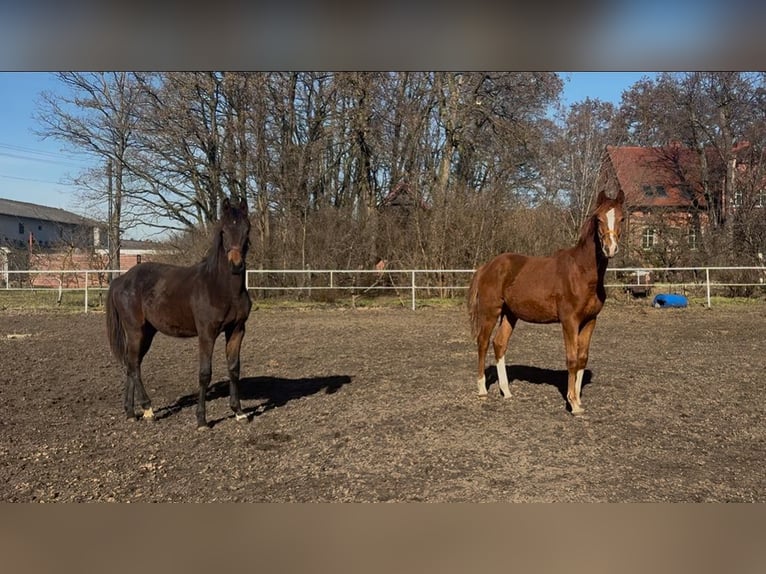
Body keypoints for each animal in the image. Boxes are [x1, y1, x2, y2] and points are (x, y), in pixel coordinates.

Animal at [106, 197, 252, 429]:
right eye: (224, 231)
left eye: (247, 229)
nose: (236, 265)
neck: (220, 287)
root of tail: (121, 279)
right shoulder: (207, 334)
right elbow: (205, 373)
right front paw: (202, 420)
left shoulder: (237, 330)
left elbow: (234, 369)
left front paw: (238, 412)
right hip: (136, 331)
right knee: (134, 365)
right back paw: (148, 409)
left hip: (147, 333)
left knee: (131, 363)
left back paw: (130, 412)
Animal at [467, 189, 625, 415]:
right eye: (598, 219)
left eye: (622, 218)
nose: (610, 249)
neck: (582, 273)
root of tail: (486, 267)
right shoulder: (569, 321)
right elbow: (572, 359)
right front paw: (572, 403)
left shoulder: (590, 320)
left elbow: (582, 358)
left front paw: (579, 401)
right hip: (490, 312)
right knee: (483, 342)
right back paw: (481, 389)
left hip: (510, 314)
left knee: (499, 344)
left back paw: (507, 392)